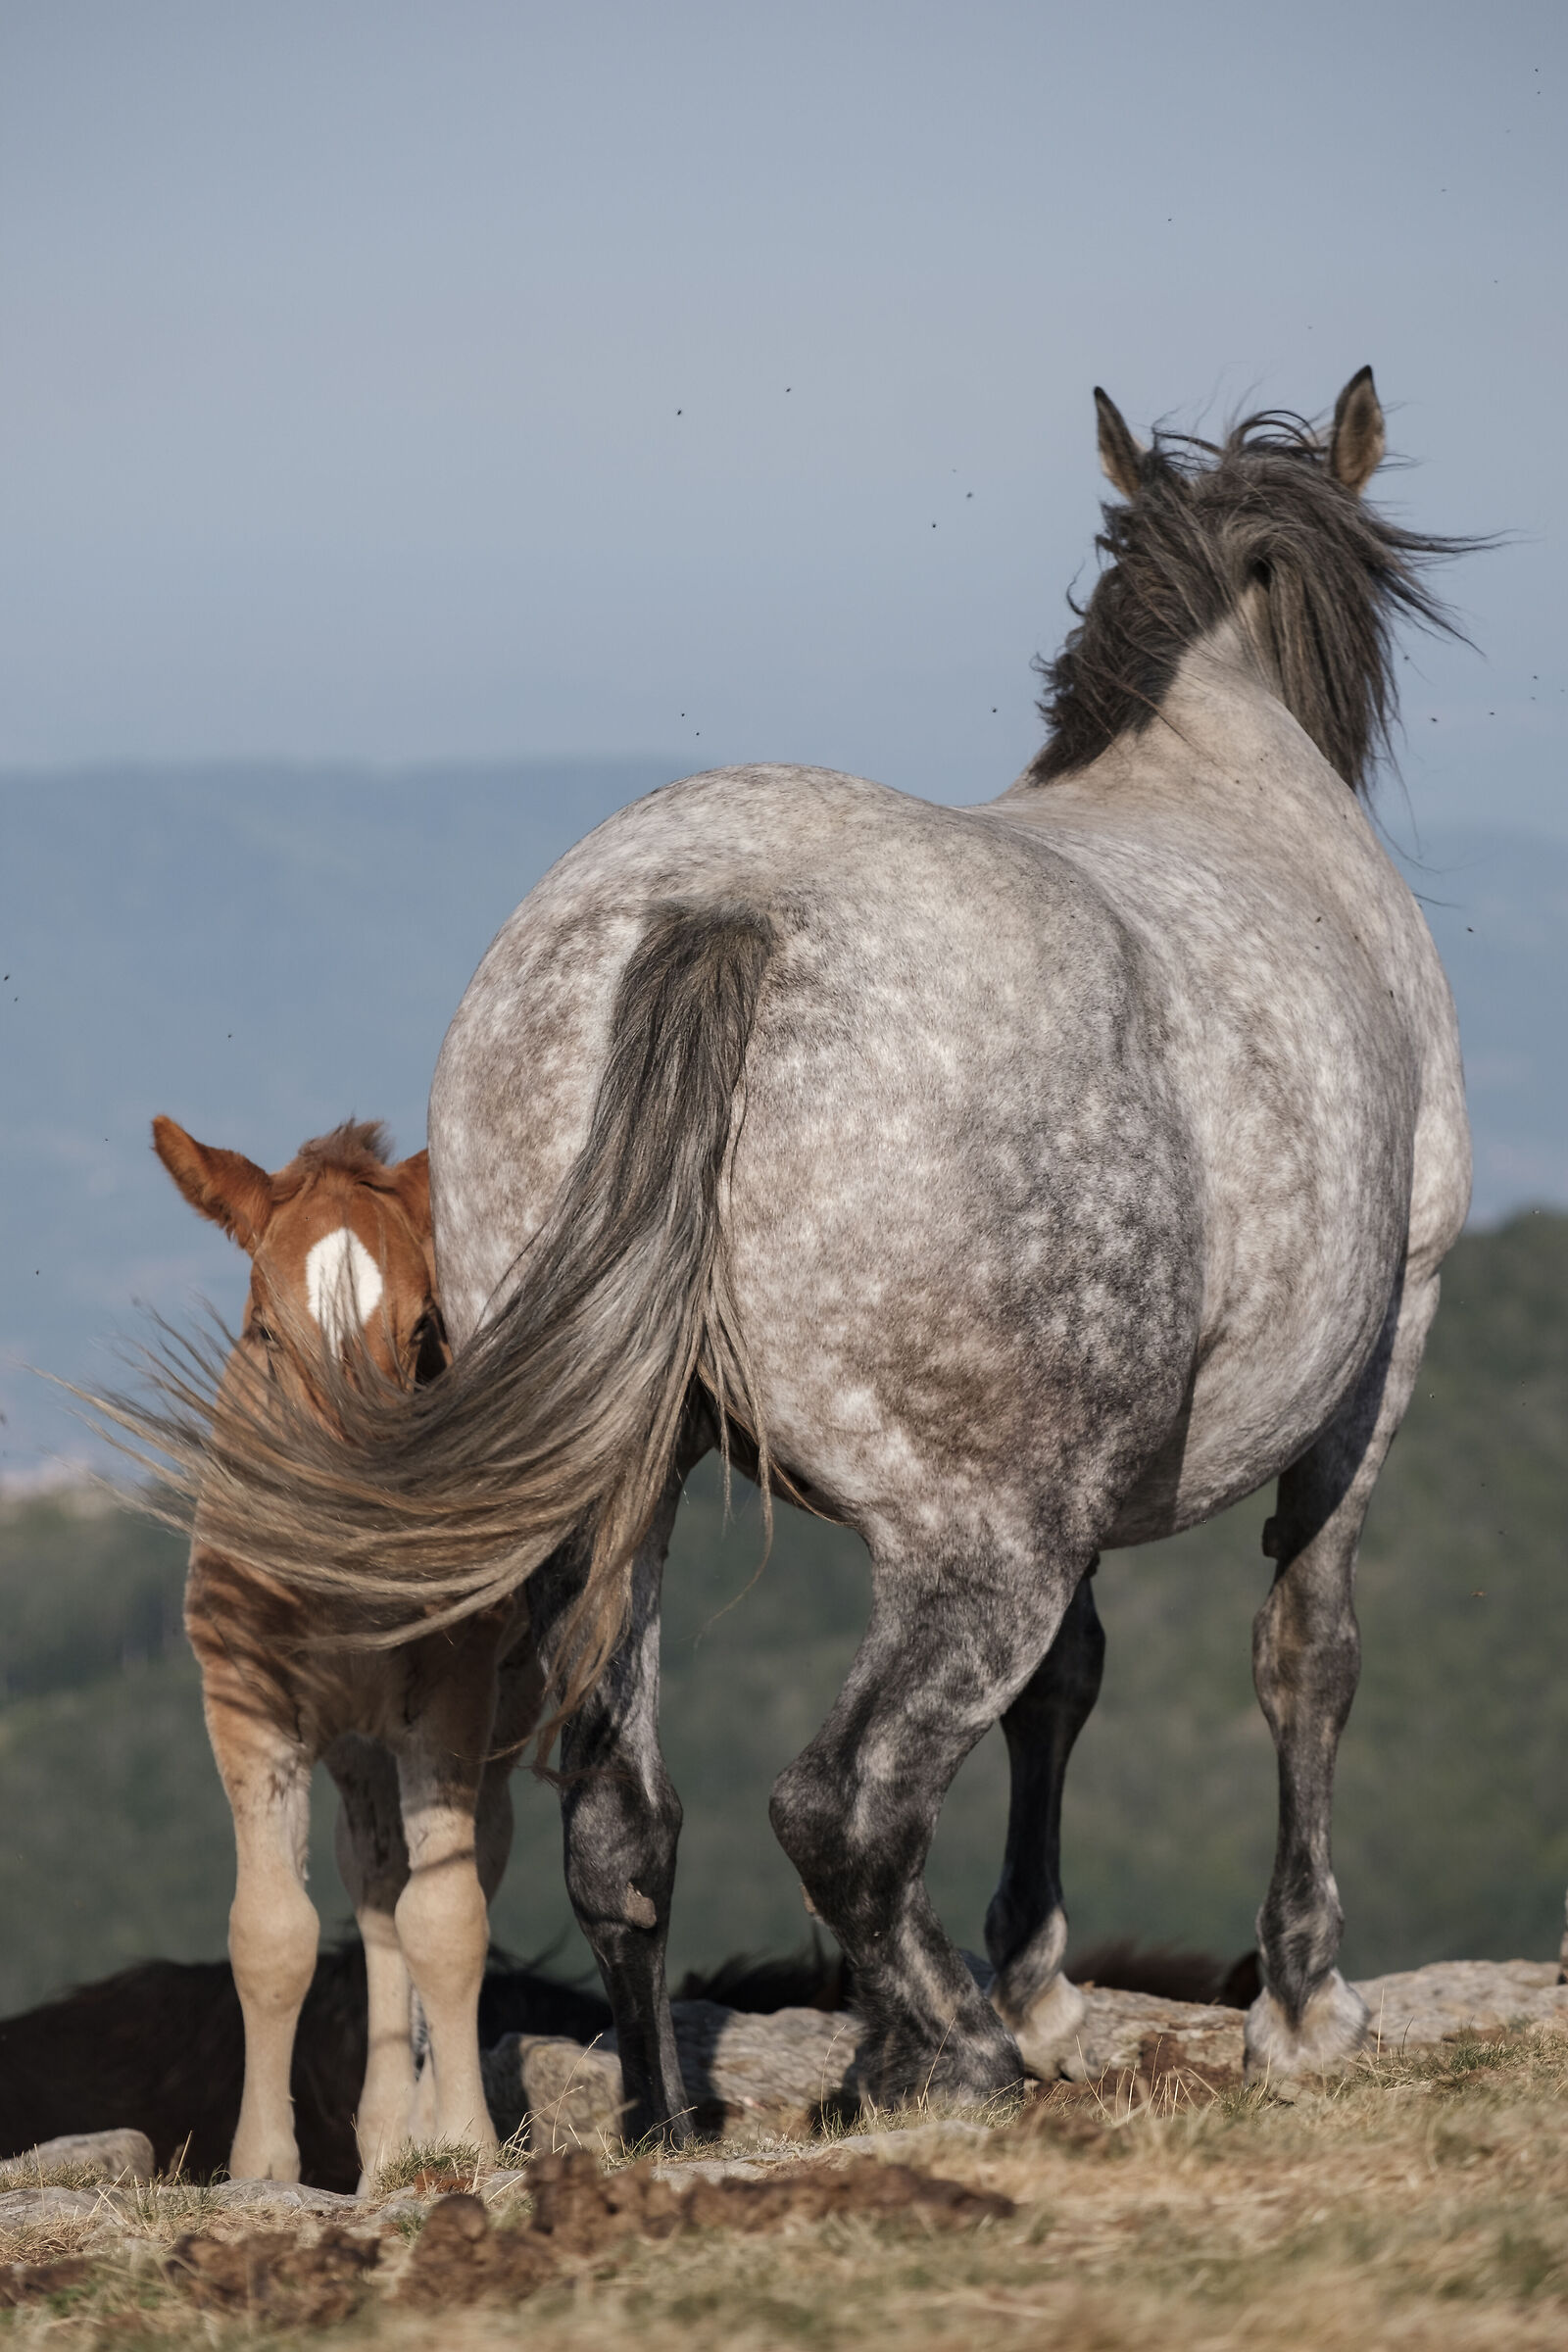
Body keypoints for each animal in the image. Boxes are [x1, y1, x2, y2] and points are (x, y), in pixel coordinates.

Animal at [146, 1117, 537, 2181]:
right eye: (264, 1335)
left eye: (426, 1331)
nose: (350, 1516)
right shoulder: (245, 1699)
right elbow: (271, 1931)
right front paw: (263, 2167)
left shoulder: (452, 1697)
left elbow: (449, 1919)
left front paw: (464, 2137)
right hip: (360, 1749)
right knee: (374, 1884)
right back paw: (385, 2130)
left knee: (460, 1870)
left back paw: (419, 2124)